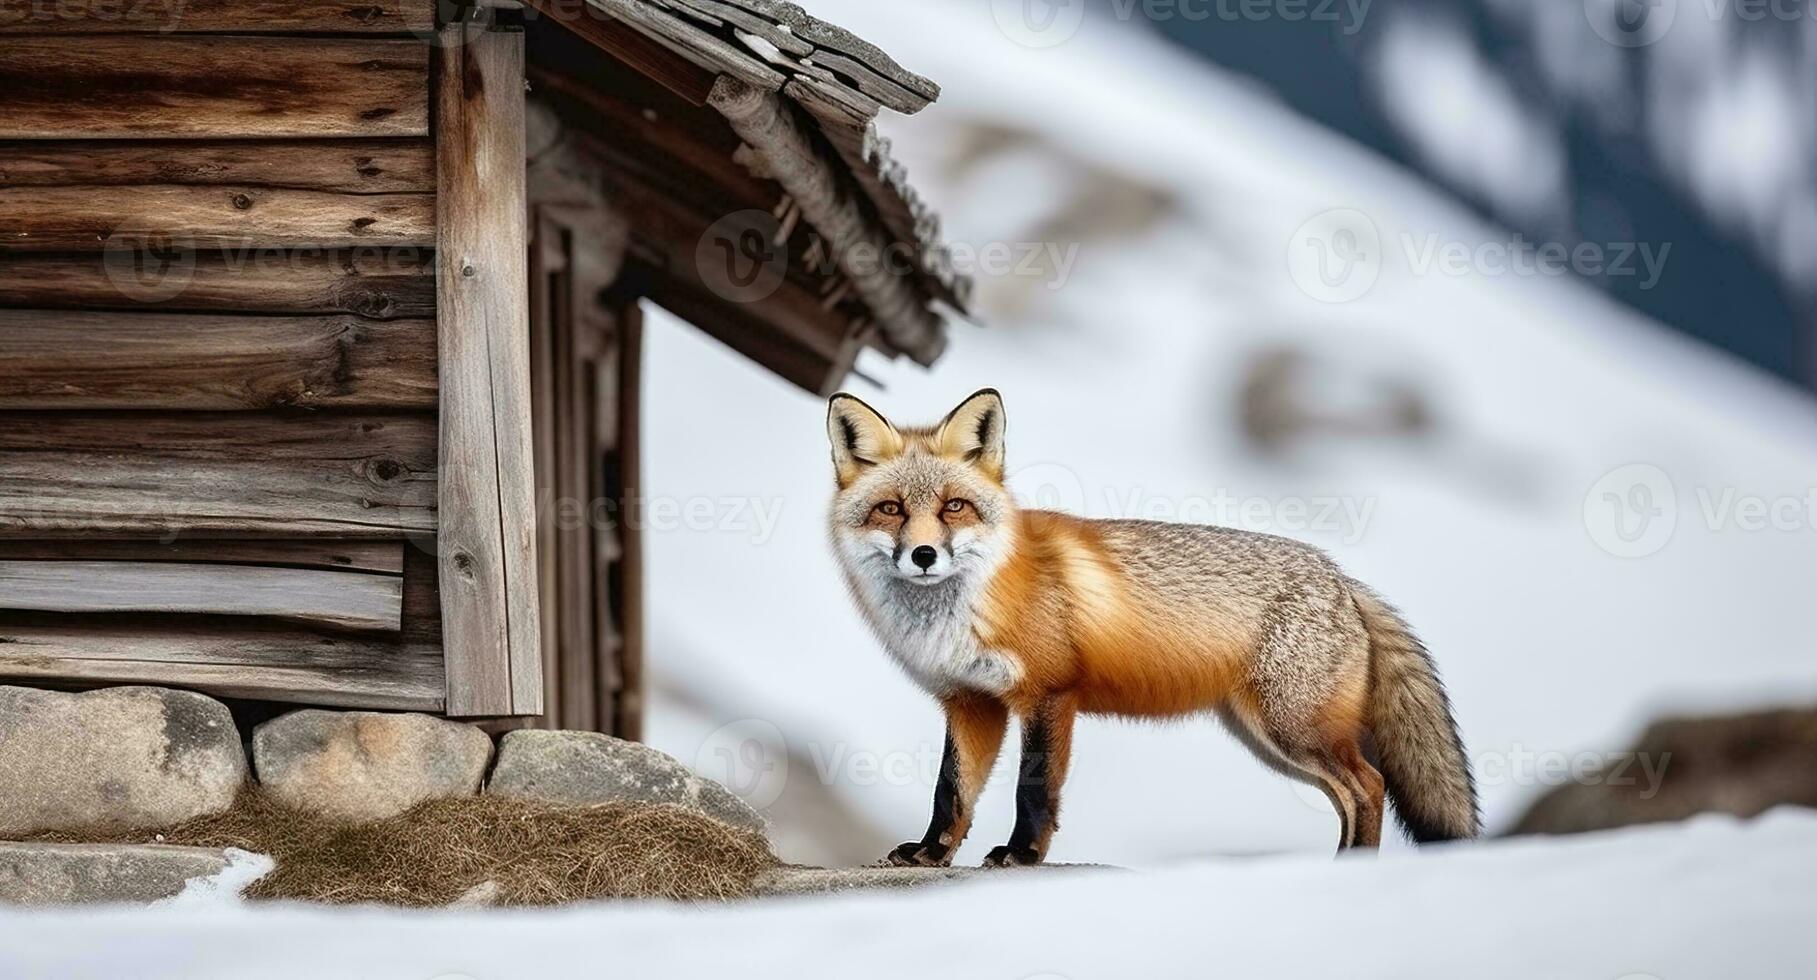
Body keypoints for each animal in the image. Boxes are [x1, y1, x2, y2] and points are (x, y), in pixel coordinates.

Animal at [828, 387, 1475, 861]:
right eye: (890, 509)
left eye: (953, 508)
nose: (923, 555)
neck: (968, 611)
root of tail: (1341, 576)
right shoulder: (971, 702)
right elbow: (951, 791)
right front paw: (931, 855)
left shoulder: (1049, 694)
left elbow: (1032, 790)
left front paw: (1021, 856)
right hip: (1267, 738)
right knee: (1352, 795)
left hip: (1293, 729)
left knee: (1370, 786)